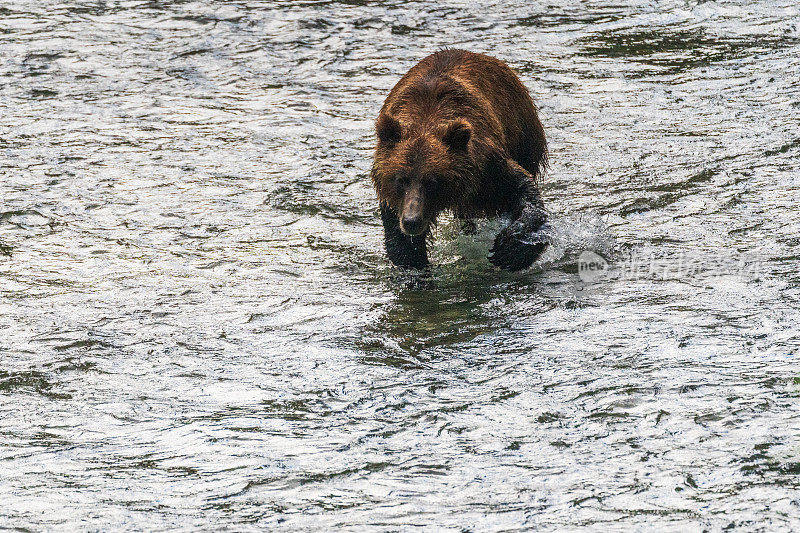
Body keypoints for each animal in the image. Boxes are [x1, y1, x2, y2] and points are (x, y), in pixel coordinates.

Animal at [370, 48, 548, 270]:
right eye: (401, 179)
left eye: (431, 181)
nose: (412, 221)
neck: (426, 119)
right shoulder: (393, 198)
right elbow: (401, 240)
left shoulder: (486, 166)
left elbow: (522, 191)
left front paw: (510, 249)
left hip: (523, 133)